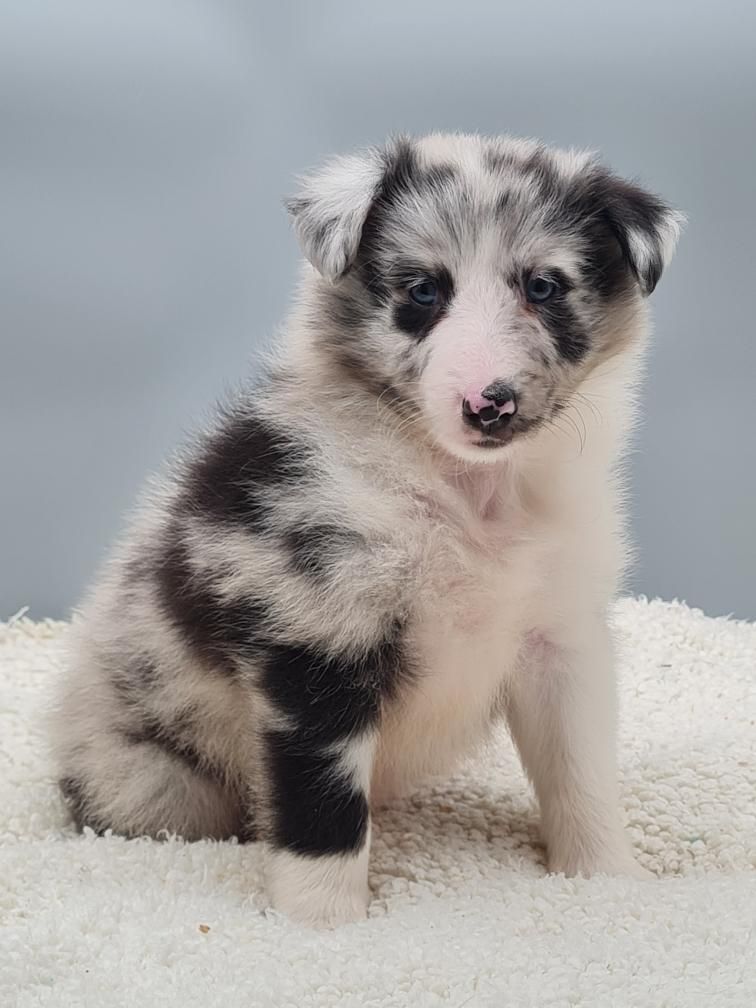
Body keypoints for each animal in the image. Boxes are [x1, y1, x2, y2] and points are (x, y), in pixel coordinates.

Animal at [51, 134, 681, 927]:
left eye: (543, 287)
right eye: (424, 291)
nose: (490, 404)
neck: (463, 492)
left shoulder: (559, 637)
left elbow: (581, 772)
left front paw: (606, 881)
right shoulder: (317, 636)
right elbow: (321, 811)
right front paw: (324, 925)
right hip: (153, 780)